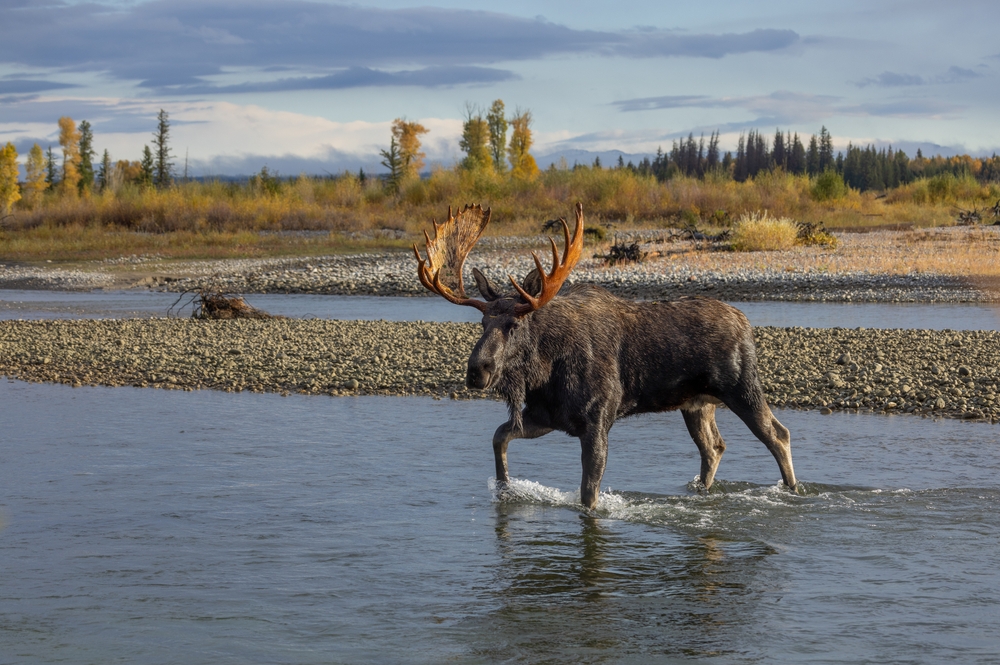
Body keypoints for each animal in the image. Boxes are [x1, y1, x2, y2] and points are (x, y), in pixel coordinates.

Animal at [413, 203, 797, 509]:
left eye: (514, 324)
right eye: (482, 322)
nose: (477, 370)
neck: (545, 371)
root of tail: (745, 321)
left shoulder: (596, 422)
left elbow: (589, 495)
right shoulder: (546, 416)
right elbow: (499, 436)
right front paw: (505, 487)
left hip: (742, 388)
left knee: (778, 434)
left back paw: (792, 491)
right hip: (696, 404)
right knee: (714, 447)